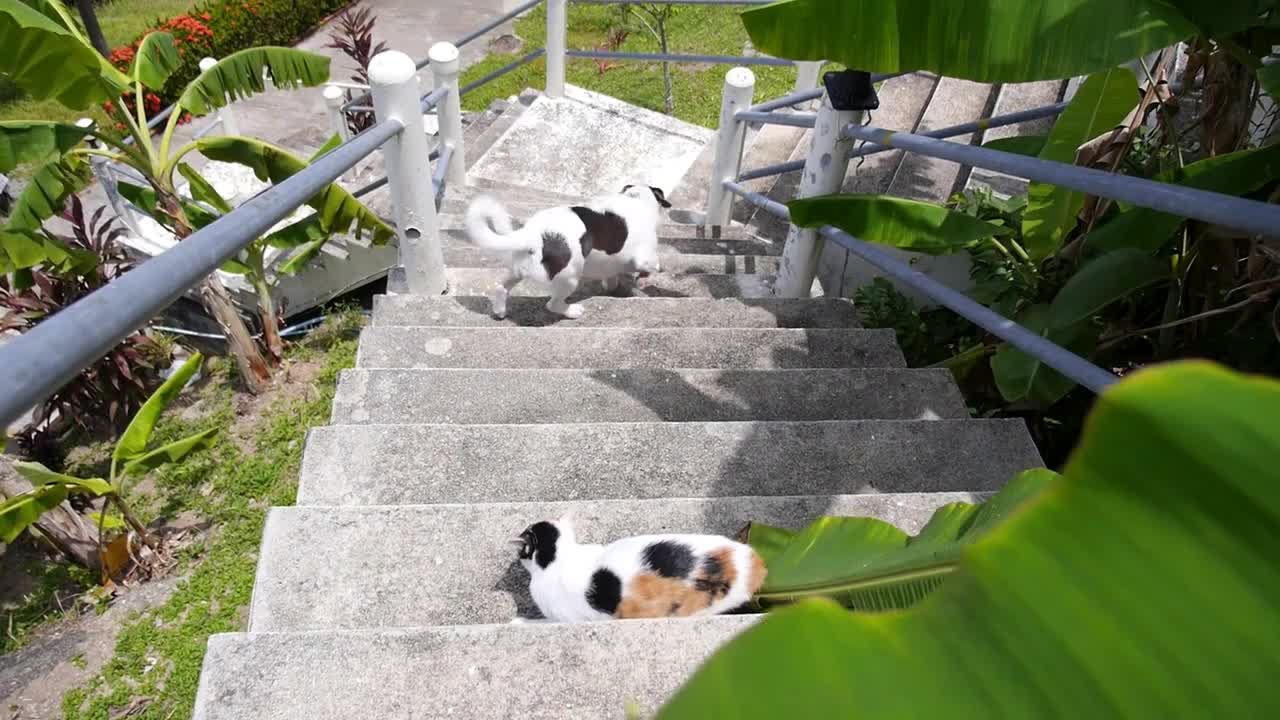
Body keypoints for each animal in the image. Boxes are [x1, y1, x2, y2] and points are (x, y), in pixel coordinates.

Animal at [465, 183, 675, 317]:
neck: (636, 200)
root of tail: (534, 233)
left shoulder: (611, 265)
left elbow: (611, 276)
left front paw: (614, 286)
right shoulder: (645, 257)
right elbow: (653, 265)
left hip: (517, 270)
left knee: (501, 288)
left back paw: (500, 311)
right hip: (569, 278)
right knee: (552, 304)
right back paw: (572, 311)